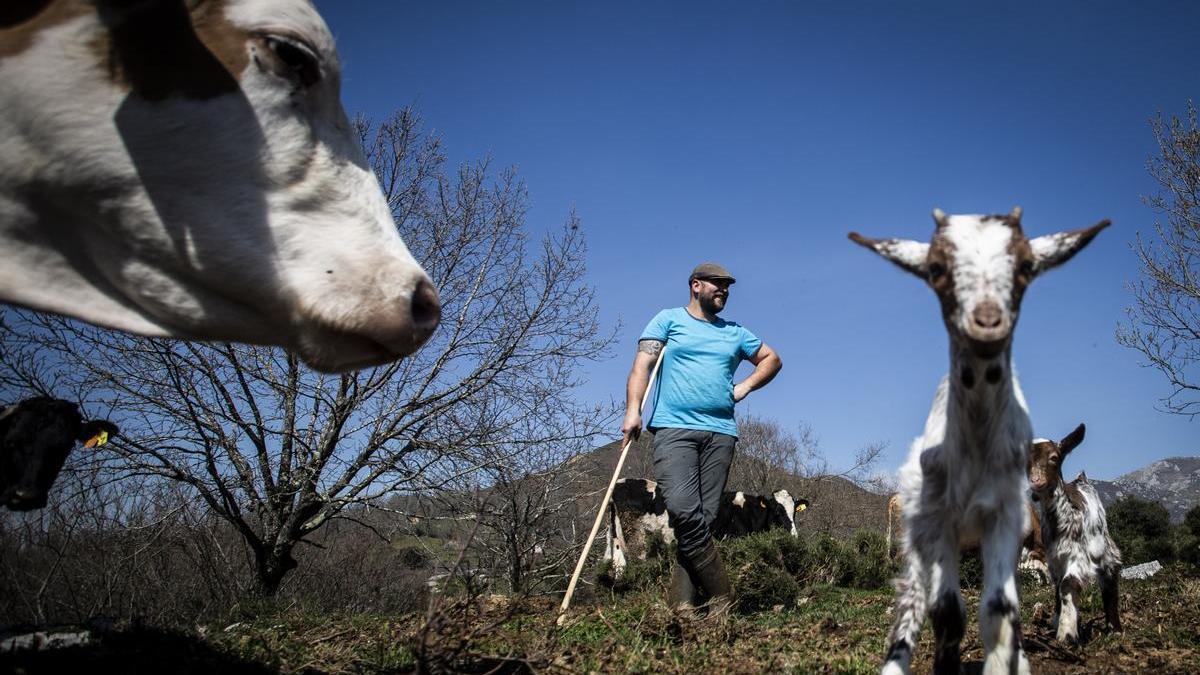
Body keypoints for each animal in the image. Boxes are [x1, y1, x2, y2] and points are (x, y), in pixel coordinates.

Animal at [1027, 425, 1118, 638]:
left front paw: (1067, 633)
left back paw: (1114, 627)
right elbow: (1059, 585)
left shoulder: (1080, 555)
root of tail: (1080, 479)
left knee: (1109, 577)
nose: (1035, 482)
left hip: (1104, 545)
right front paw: (1061, 621)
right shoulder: (1053, 559)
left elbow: (1068, 583)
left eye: (1054, 457)